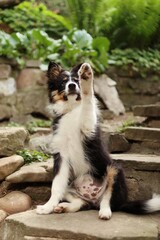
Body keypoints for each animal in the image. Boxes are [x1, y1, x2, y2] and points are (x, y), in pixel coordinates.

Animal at [36, 61, 160, 219]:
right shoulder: (61, 155)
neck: (72, 110)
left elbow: (87, 102)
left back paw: (105, 211)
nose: (72, 85)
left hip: (114, 169)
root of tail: (93, 198)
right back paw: (64, 207)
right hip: (71, 185)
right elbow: (56, 186)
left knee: (107, 199)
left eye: (76, 80)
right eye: (63, 82)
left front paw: (86, 76)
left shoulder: (88, 127)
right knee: (83, 202)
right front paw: (47, 207)